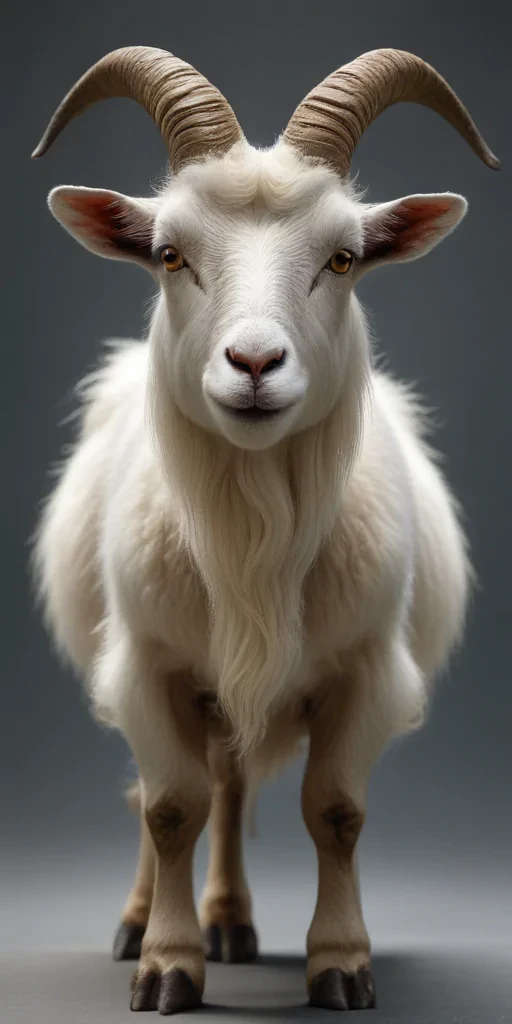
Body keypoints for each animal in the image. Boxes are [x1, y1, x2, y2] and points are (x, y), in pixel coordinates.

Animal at [32, 46, 498, 1014]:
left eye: (344, 258)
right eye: (169, 254)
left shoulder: (365, 671)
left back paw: (230, 923)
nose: (253, 362)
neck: (252, 538)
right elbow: (169, 809)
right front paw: (167, 967)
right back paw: (144, 922)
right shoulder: (148, 668)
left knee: (232, 781)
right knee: (177, 795)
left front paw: (341, 964)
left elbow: (335, 813)